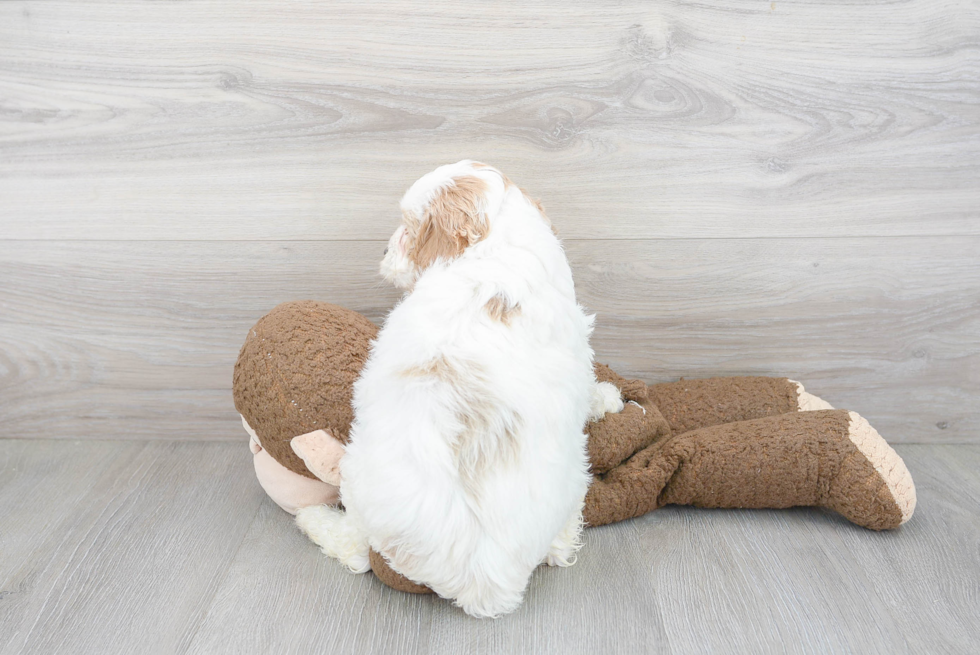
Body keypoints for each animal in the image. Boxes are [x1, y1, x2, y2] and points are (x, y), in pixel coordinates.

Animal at [294, 160, 624, 620]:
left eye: (409, 227)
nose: (382, 253)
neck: (495, 242)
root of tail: (482, 584)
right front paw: (606, 396)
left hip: (360, 481)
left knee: (356, 549)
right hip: (573, 476)